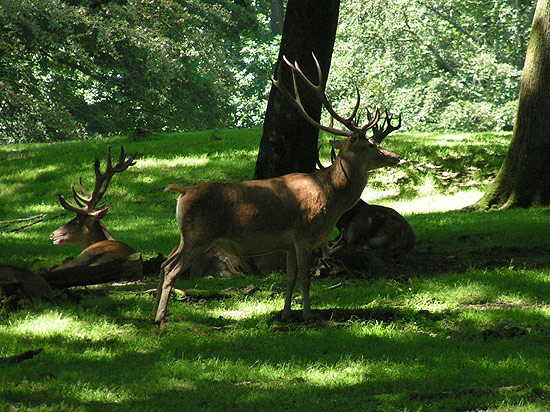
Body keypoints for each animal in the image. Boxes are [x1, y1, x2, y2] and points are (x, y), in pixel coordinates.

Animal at [153, 54, 404, 326]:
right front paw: (308, 316)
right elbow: (305, 277)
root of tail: (183, 191)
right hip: (199, 236)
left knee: (163, 264)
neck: (331, 195)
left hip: (186, 236)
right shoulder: (303, 234)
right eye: (370, 145)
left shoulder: (289, 242)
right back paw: (161, 318)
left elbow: (290, 277)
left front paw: (285, 315)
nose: (395, 157)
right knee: (171, 270)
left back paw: (152, 312)